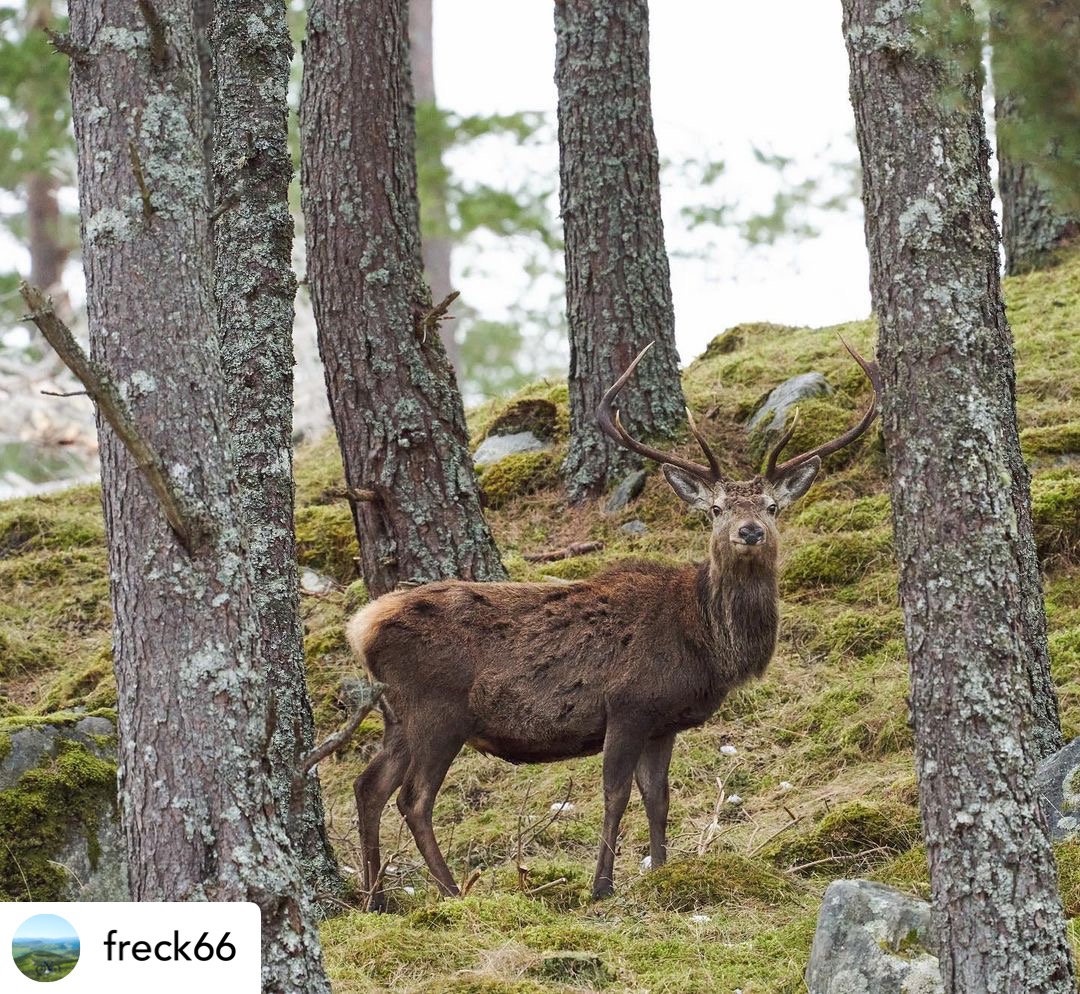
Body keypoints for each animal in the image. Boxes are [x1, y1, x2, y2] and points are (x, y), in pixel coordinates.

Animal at [346, 341, 880, 907]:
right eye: (716, 509)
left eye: (774, 506)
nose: (751, 530)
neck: (706, 641)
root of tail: (361, 628)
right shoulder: (628, 704)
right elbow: (615, 794)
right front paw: (601, 886)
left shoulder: (663, 721)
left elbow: (658, 798)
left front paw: (662, 871)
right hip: (436, 710)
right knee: (413, 799)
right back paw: (451, 891)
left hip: (397, 715)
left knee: (368, 786)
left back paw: (376, 897)